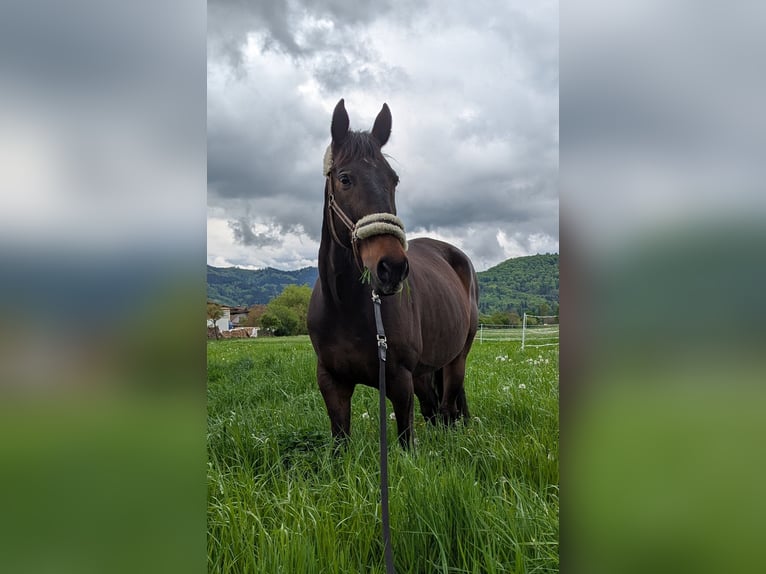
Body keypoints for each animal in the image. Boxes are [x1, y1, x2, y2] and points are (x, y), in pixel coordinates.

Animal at [307, 99, 479, 449]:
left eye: (394, 179)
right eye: (345, 178)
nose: (393, 267)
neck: (345, 307)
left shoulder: (399, 380)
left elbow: (405, 442)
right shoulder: (331, 382)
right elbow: (340, 445)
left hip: (456, 358)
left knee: (447, 409)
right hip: (425, 372)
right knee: (435, 411)